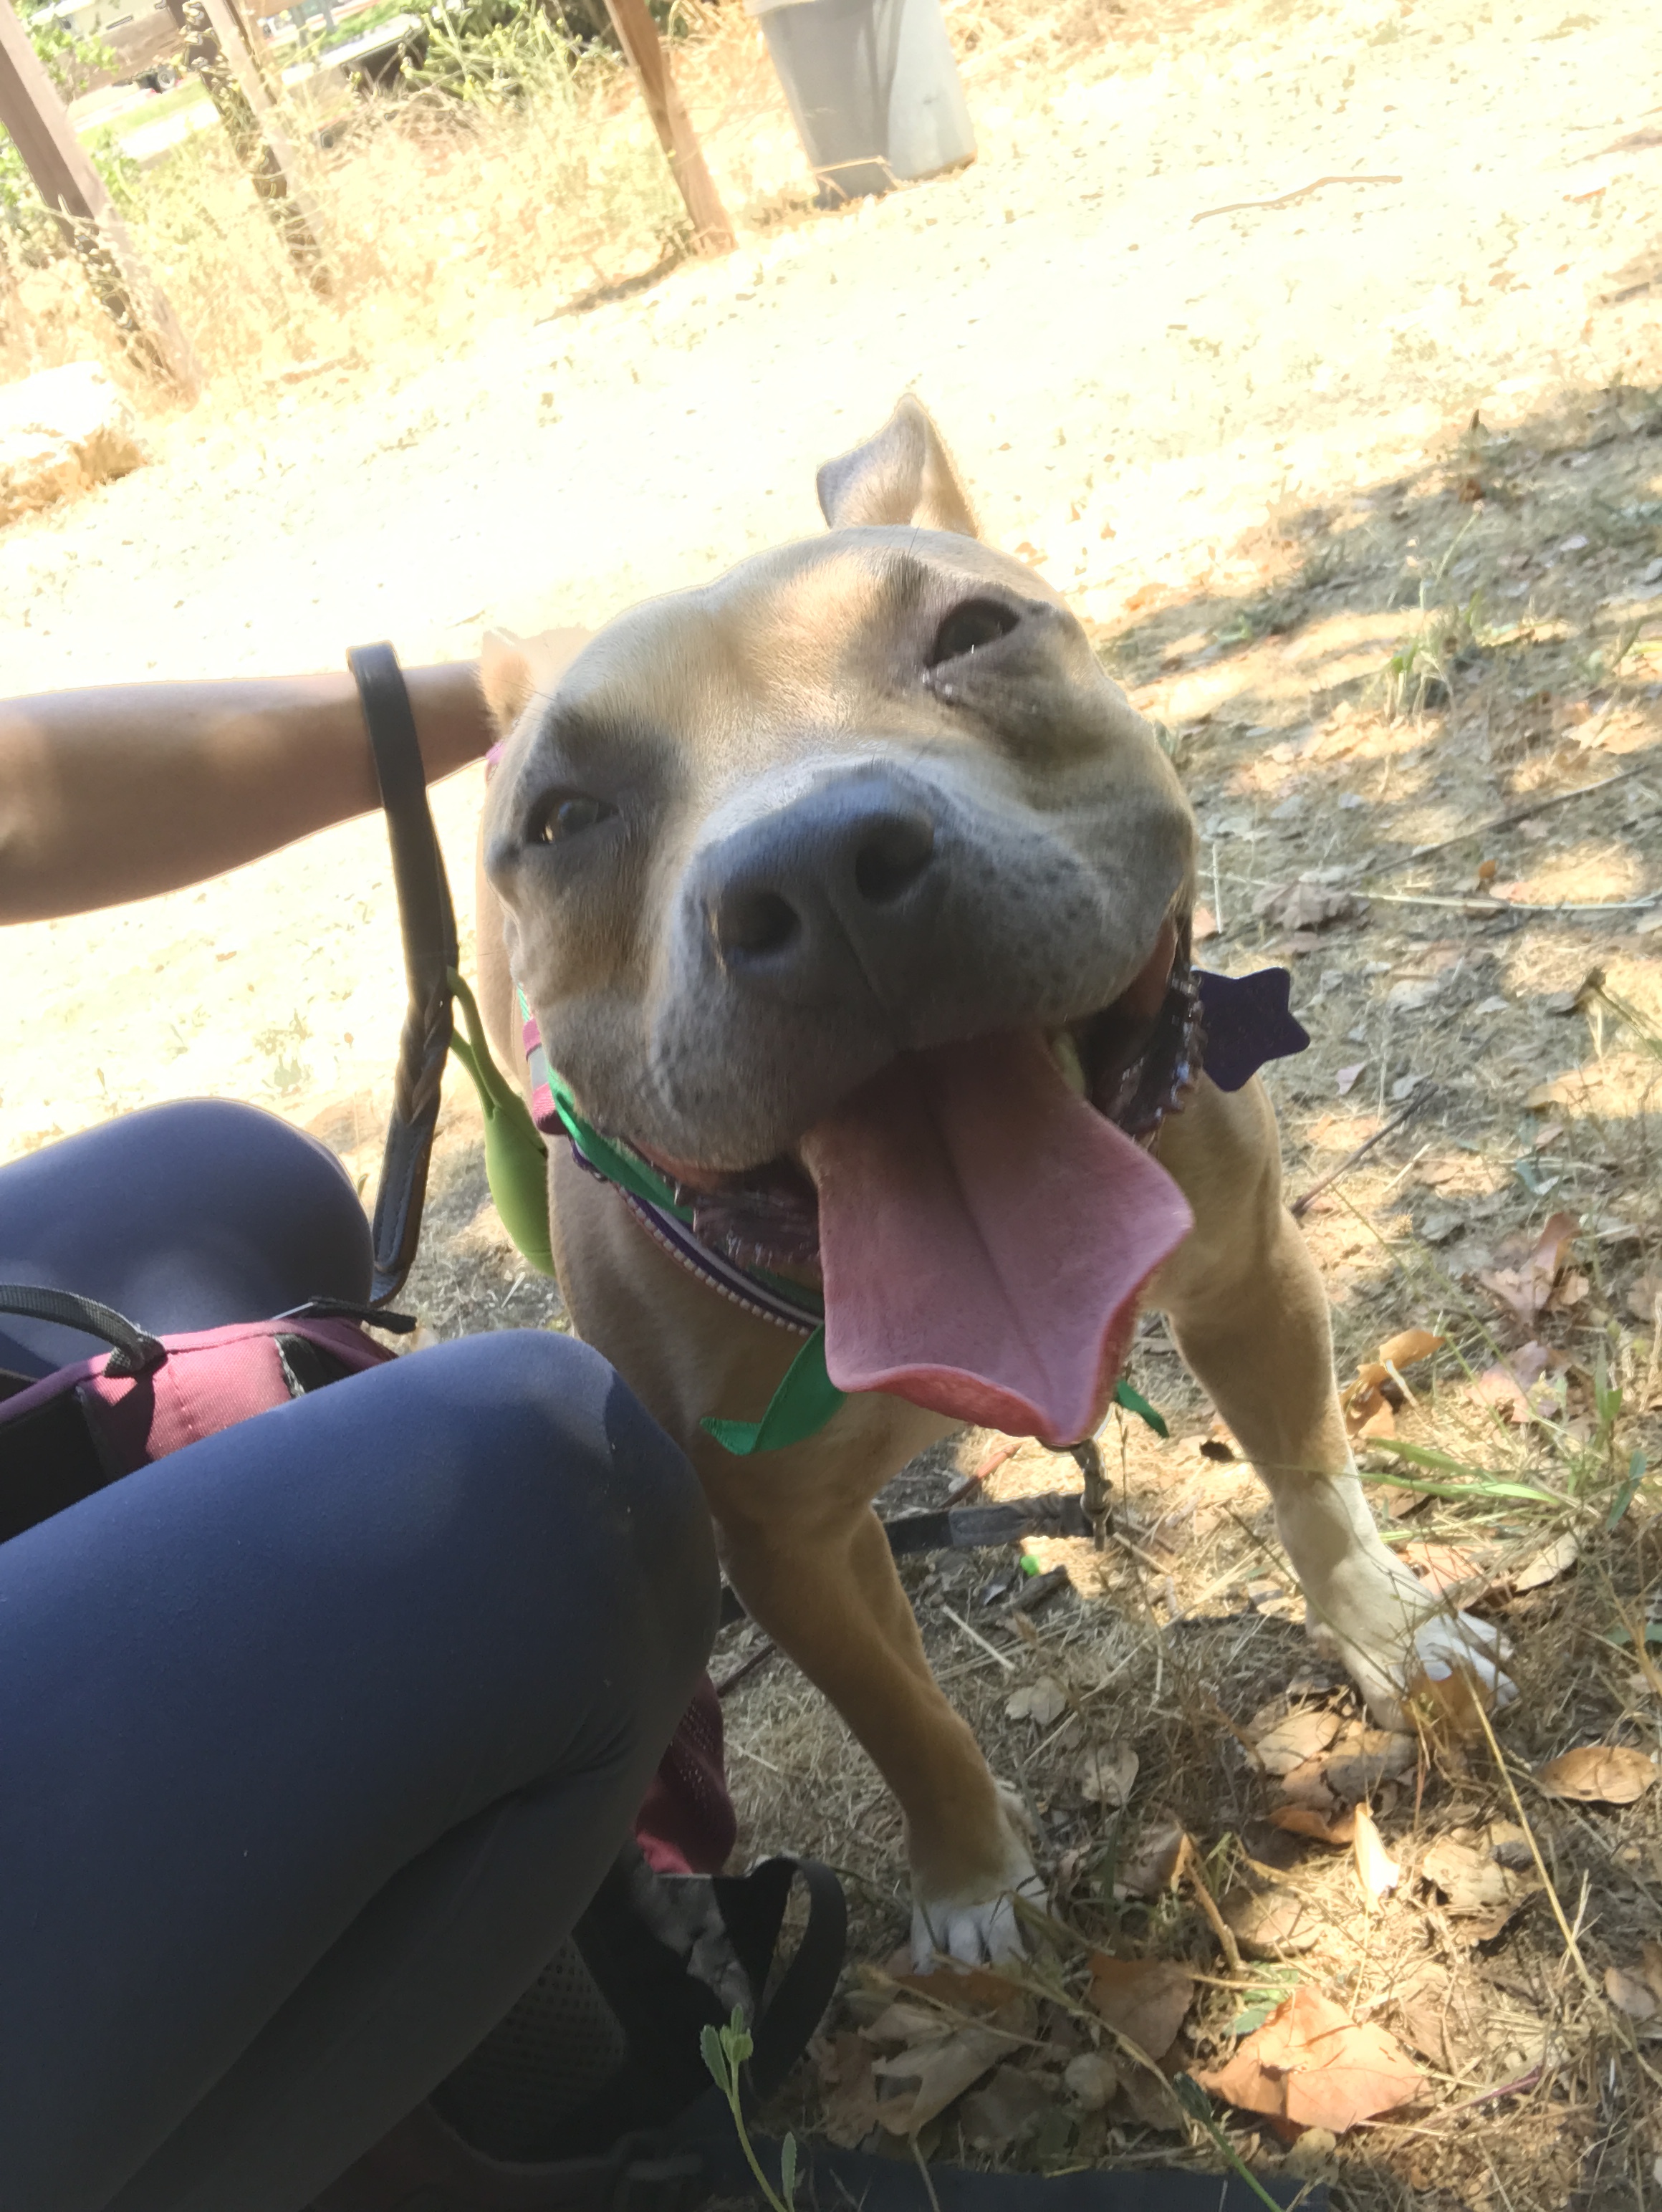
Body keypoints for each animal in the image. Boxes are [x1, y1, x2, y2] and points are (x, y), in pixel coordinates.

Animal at [474, 403, 1514, 1973]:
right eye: (561, 816)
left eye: (972, 631)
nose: (811, 867)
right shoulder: (778, 1539)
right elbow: (899, 1714)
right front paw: (968, 1875)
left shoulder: (1249, 1275)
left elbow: (1313, 1478)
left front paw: (1388, 1629)